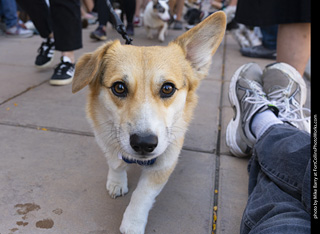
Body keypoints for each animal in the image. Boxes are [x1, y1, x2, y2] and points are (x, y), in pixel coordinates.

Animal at [73, 11, 228, 234]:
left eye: (167, 88)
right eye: (119, 87)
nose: (144, 144)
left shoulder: (164, 163)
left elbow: (142, 195)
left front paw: (132, 223)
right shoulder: (106, 139)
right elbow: (115, 164)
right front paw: (116, 182)